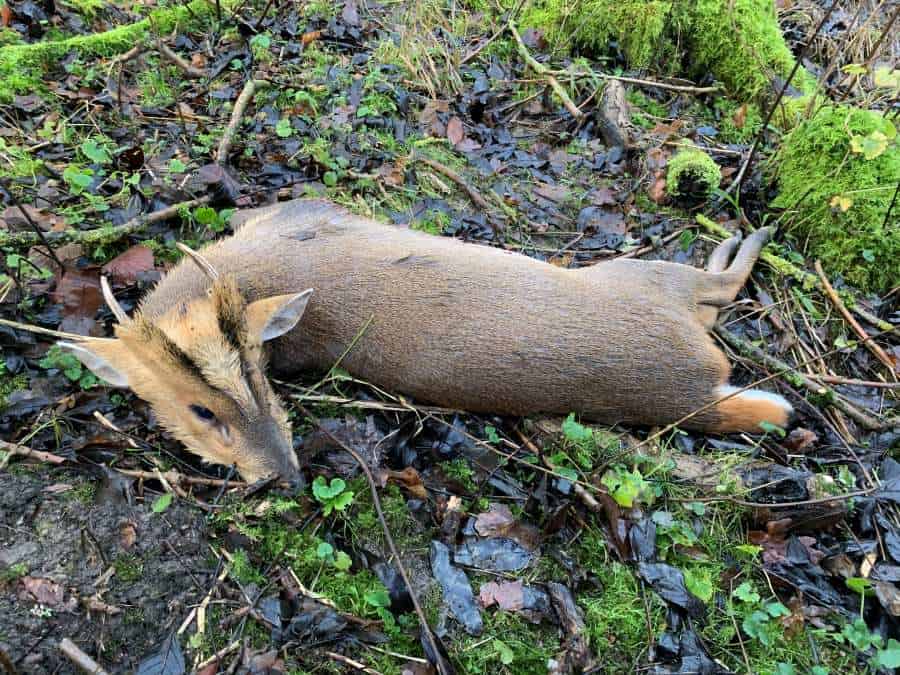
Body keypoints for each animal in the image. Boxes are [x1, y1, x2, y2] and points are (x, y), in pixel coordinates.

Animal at [59, 198, 792, 484]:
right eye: (199, 411)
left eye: (259, 374)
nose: (285, 474)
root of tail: (697, 390)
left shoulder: (302, 209)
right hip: (654, 287)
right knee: (722, 292)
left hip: (654, 288)